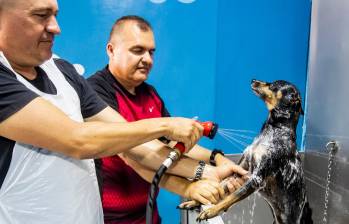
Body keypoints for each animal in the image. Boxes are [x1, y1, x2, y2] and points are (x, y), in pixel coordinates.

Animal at [179, 79, 310, 223]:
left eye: (273, 85)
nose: (253, 80)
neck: (273, 130)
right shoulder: (240, 169)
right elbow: (221, 187)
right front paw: (195, 201)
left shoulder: (257, 178)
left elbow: (232, 196)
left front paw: (211, 210)